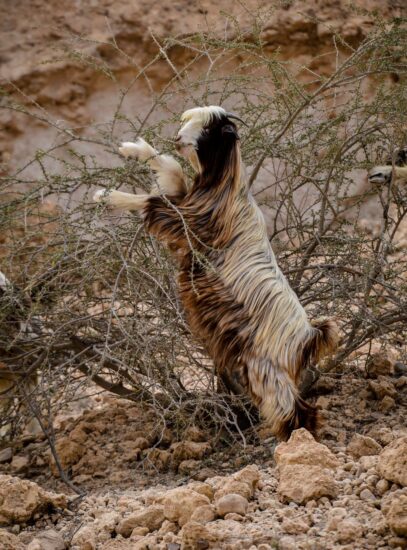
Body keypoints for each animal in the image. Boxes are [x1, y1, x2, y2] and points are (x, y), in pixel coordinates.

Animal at [94, 106, 340, 444]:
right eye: (188, 121)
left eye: (210, 130)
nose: (178, 139)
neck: (225, 189)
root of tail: (307, 337)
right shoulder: (185, 203)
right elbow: (172, 170)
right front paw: (132, 149)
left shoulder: (189, 224)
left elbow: (152, 202)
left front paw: (106, 197)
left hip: (265, 367)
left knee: (291, 406)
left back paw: (294, 441)